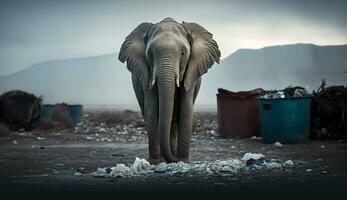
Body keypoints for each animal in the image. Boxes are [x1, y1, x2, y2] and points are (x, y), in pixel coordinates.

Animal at [118, 18, 222, 163]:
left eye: (183, 53)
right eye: (150, 55)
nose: (175, 159)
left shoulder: (191, 73)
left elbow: (186, 109)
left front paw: (183, 161)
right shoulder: (147, 73)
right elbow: (151, 109)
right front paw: (155, 162)